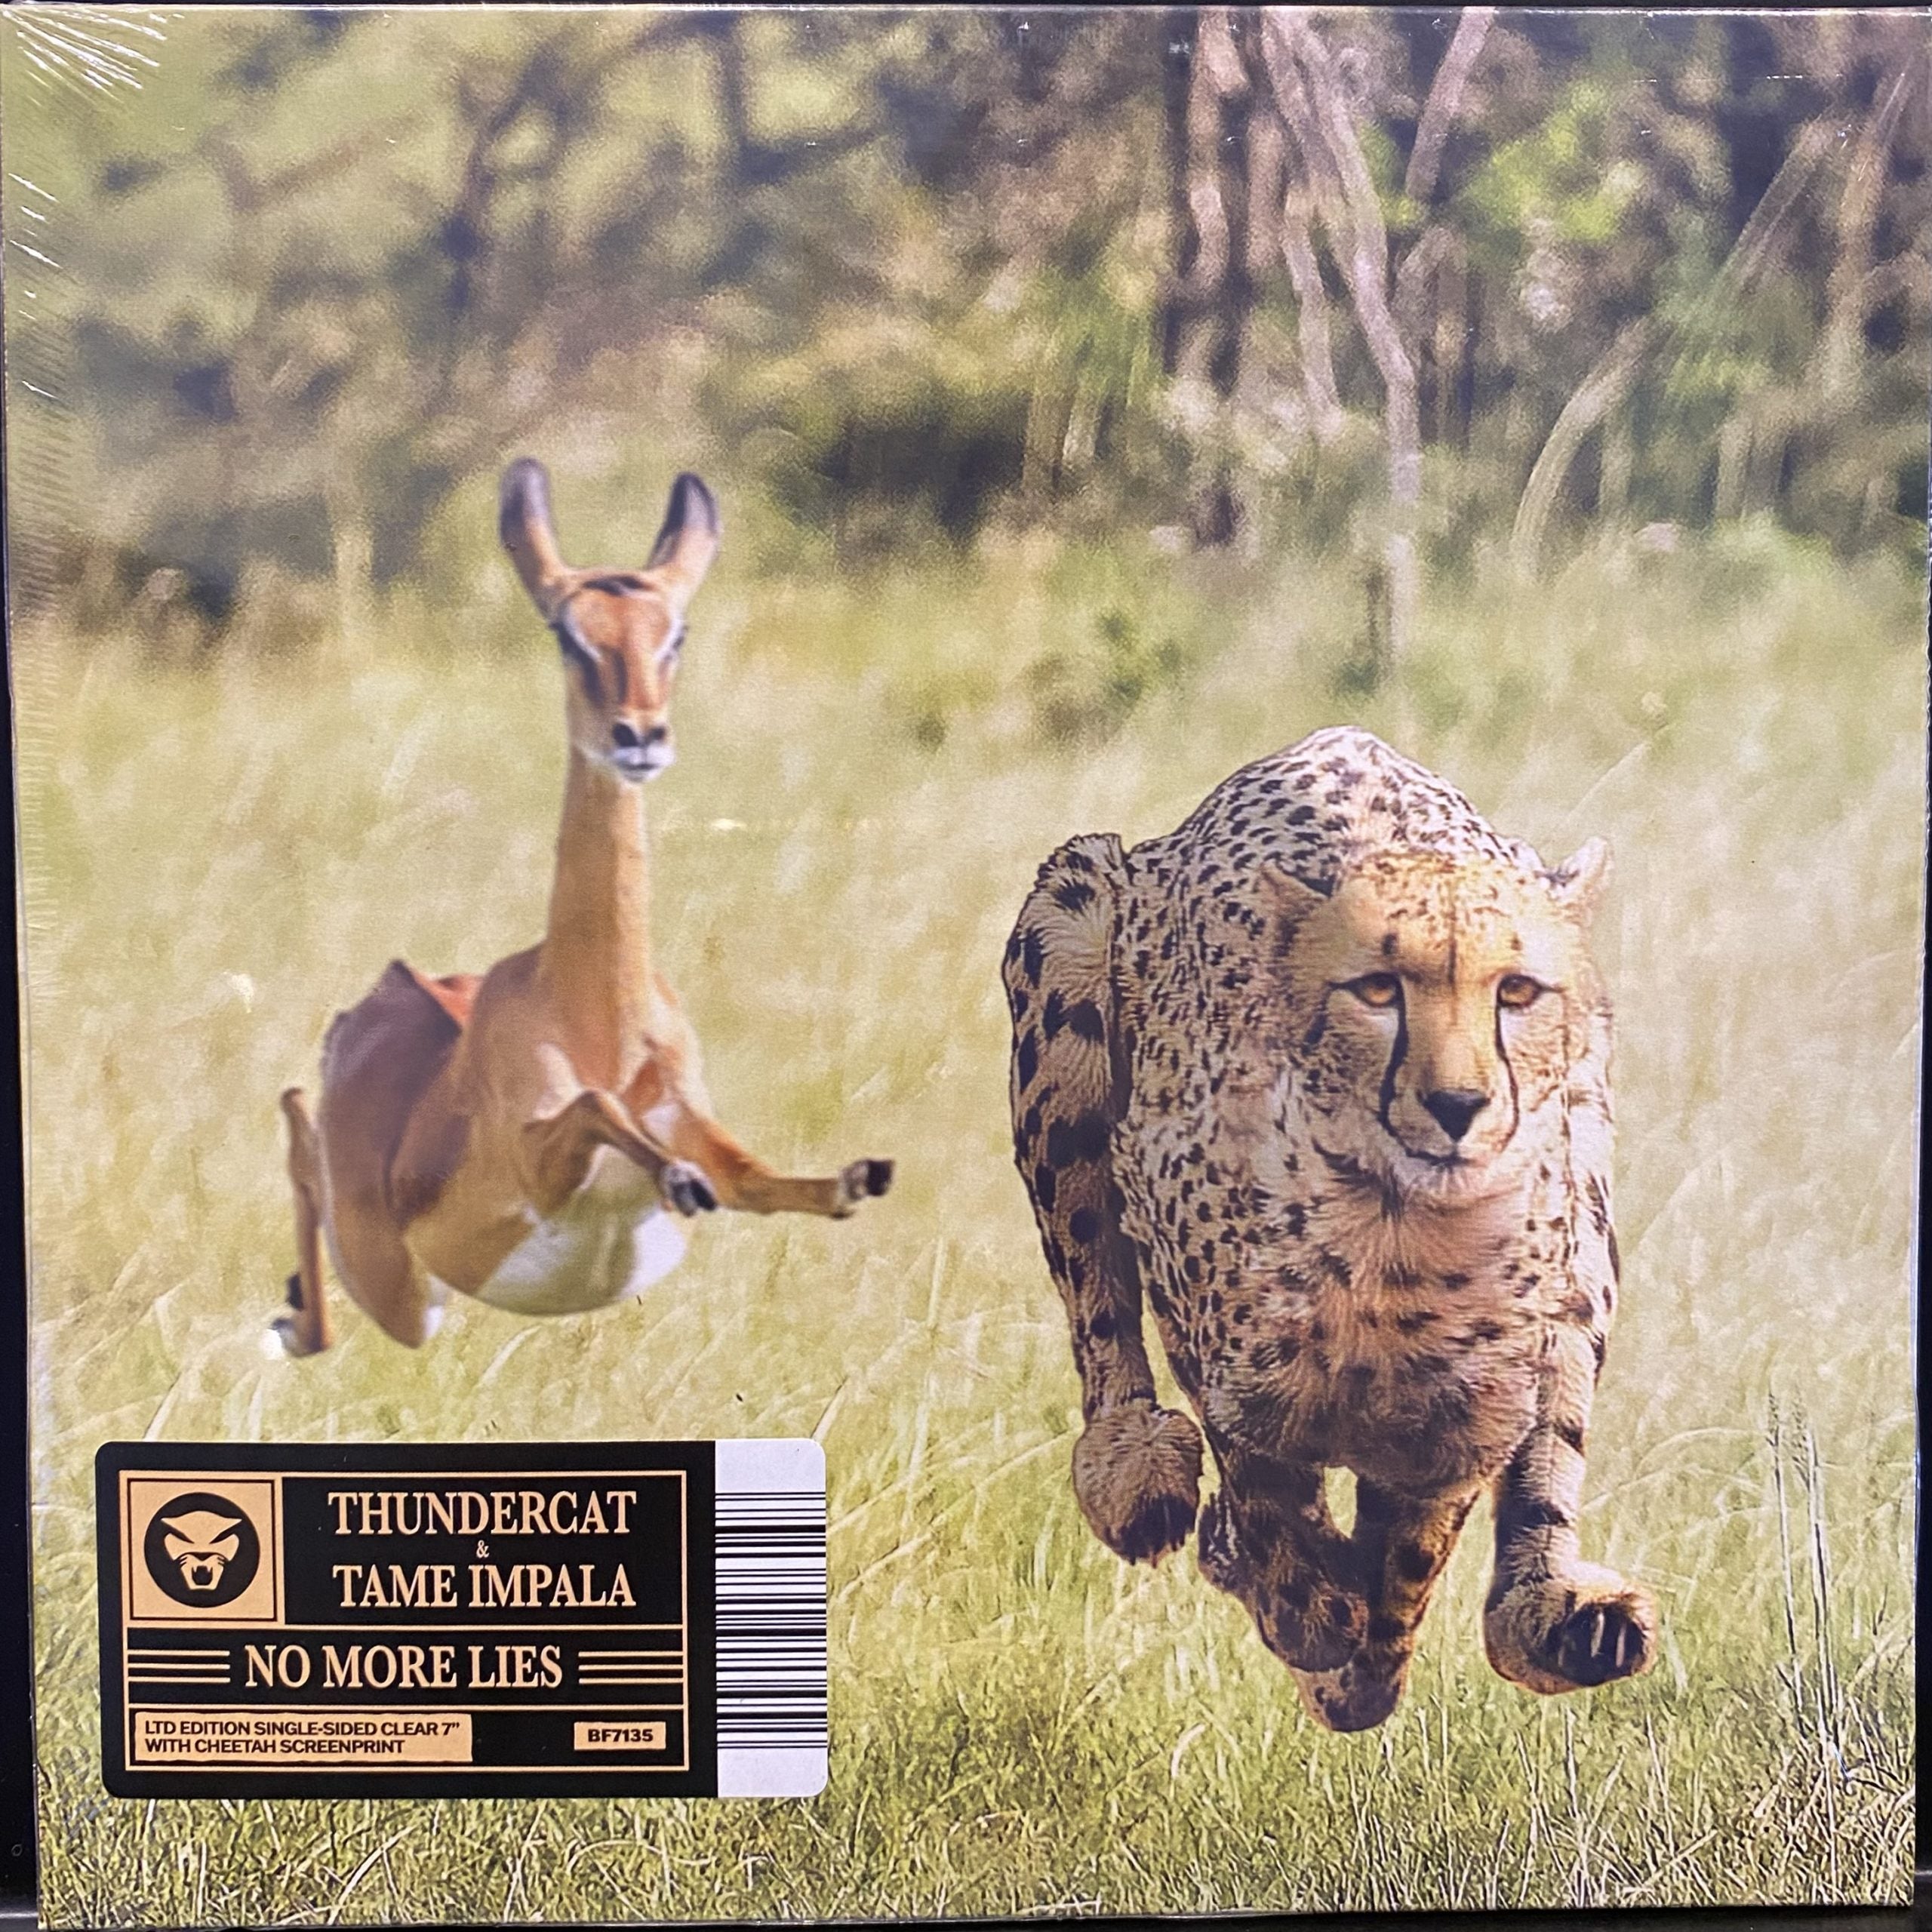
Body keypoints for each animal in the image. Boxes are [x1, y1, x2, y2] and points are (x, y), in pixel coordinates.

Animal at [273, 458, 894, 1355]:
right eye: (568, 633)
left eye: (675, 632)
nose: (639, 736)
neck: (598, 1021)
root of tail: (375, 1001)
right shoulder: (540, 1162)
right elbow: (599, 1110)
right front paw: (677, 1176)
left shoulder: (698, 1122)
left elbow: (765, 1178)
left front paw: (856, 1176)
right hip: (398, 1293)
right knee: (299, 1141)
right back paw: (287, 1318)